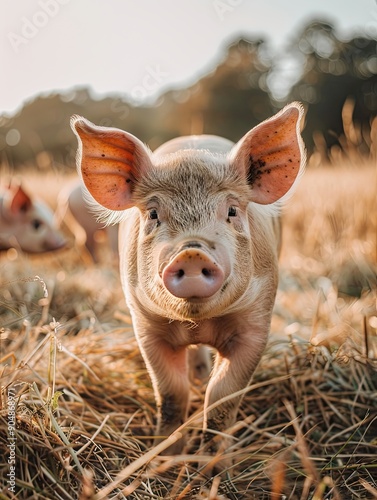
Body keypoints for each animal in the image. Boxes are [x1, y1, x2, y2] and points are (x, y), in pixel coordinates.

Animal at [70, 103, 306, 466]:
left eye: (232, 210)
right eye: (154, 214)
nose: (192, 251)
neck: (199, 321)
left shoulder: (256, 323)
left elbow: (222, 396)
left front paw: (213, 467)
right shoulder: (146, 326)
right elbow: (171, 394)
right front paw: (164, 458)